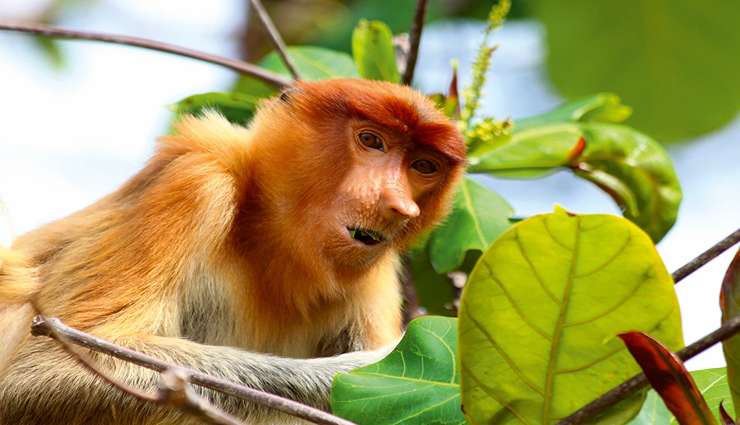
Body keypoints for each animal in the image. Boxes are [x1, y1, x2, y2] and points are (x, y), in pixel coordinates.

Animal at [0, 78, 462, 422]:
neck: (266, 239)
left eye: (424, 166)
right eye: (371, 140)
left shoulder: (376, 270)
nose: (397, 205)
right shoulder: (196, 180)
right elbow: (41, 371)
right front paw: (363, 370)